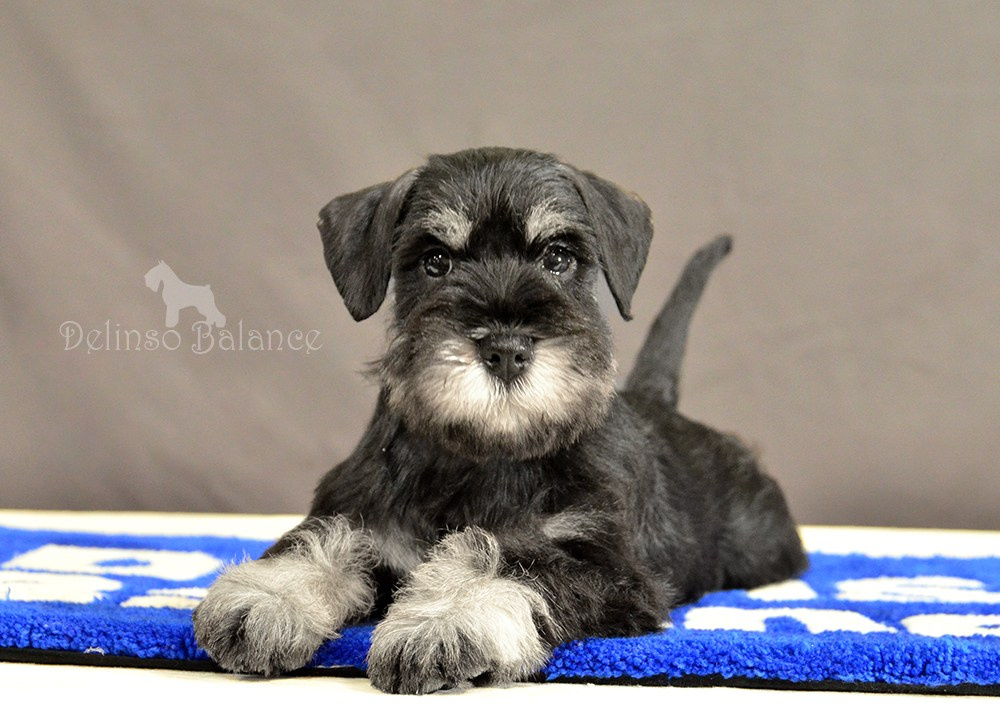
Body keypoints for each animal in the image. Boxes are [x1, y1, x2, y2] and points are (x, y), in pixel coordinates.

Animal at [193, 147, 806, 693]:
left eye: (557, 257)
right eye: (435, 261)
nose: (506, 349)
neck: (485, 453)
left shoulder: (609, 570)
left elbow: (510, 562)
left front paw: (441, 623)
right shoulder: (365, 514)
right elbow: (325, 539)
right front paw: (268, 598)